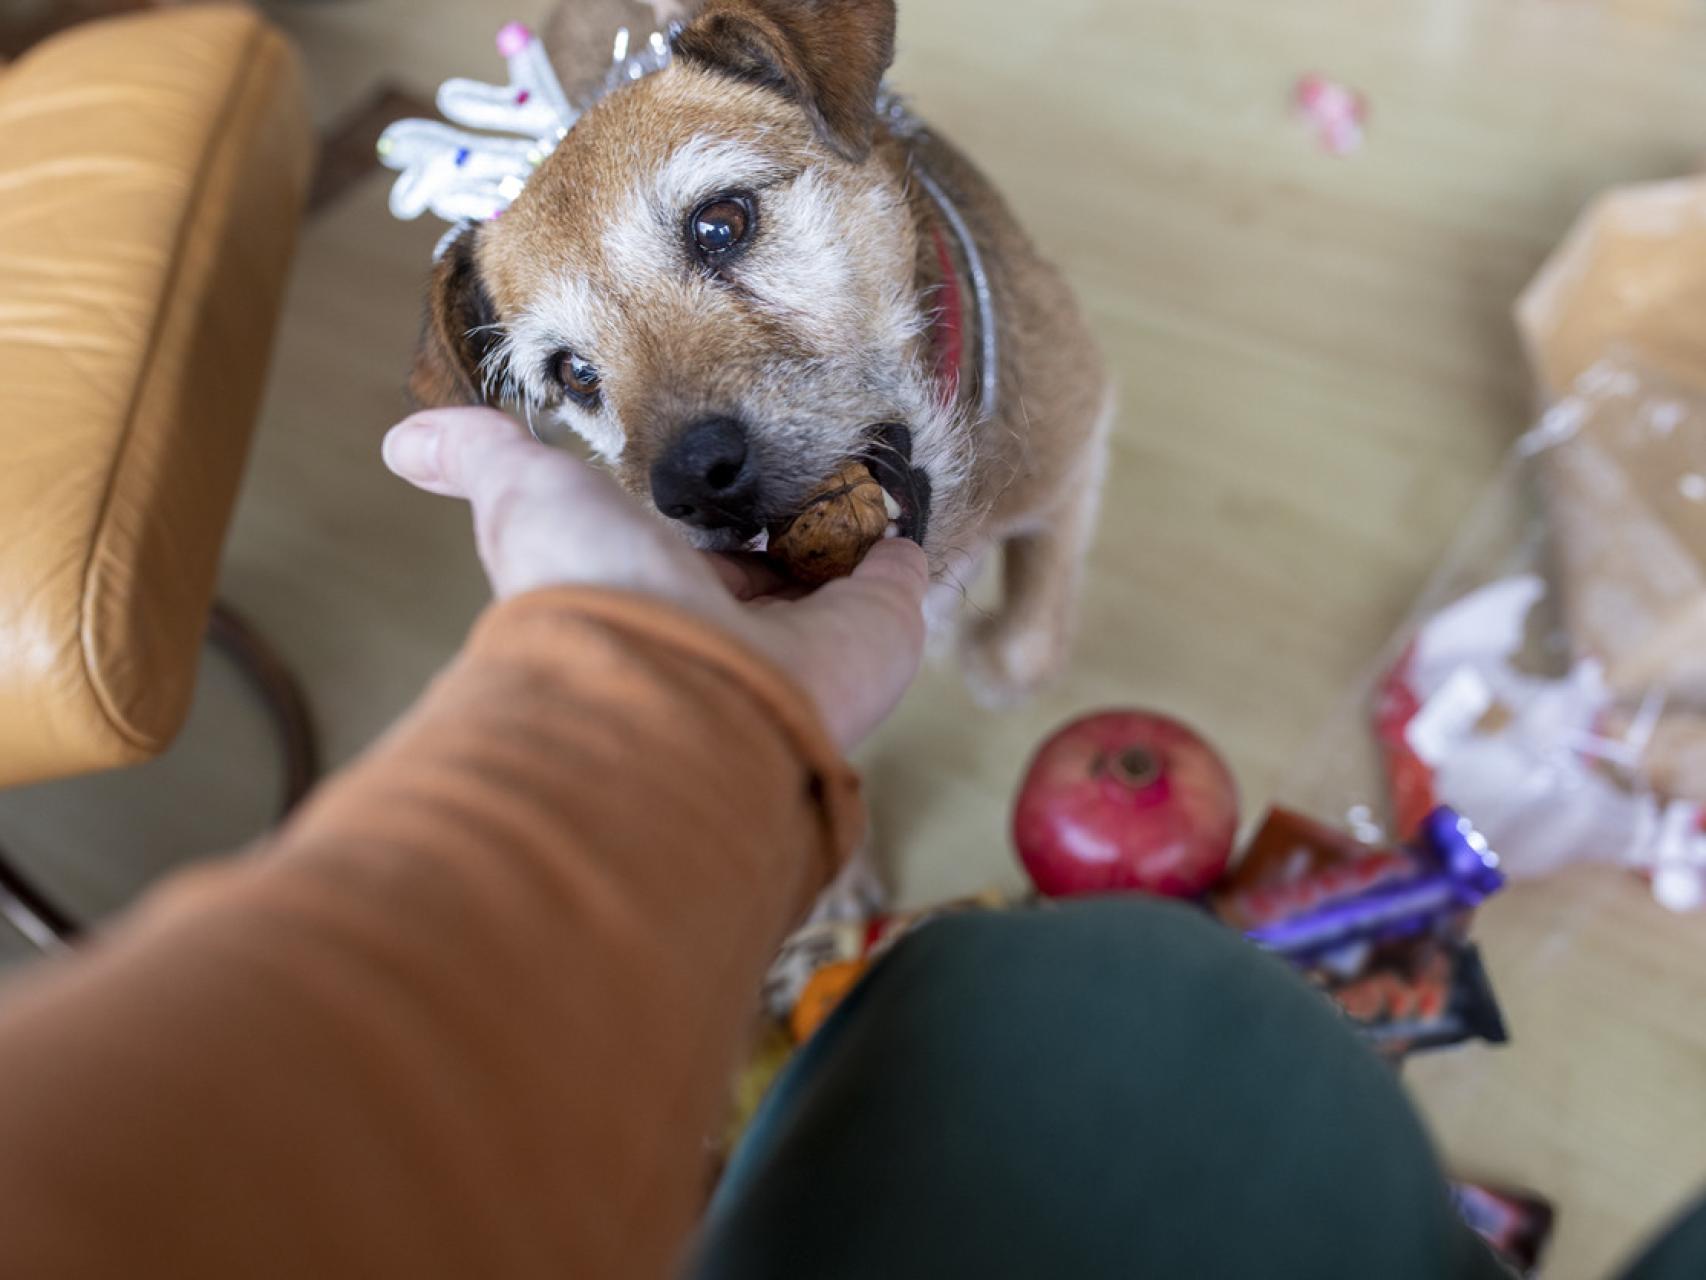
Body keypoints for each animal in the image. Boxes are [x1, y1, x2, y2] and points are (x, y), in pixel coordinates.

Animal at [409, 0, 1105, 703]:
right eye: (575, 372)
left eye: (720, 225)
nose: (692, 481)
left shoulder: (1079, 448)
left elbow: (1031, 625)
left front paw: (999, 661)